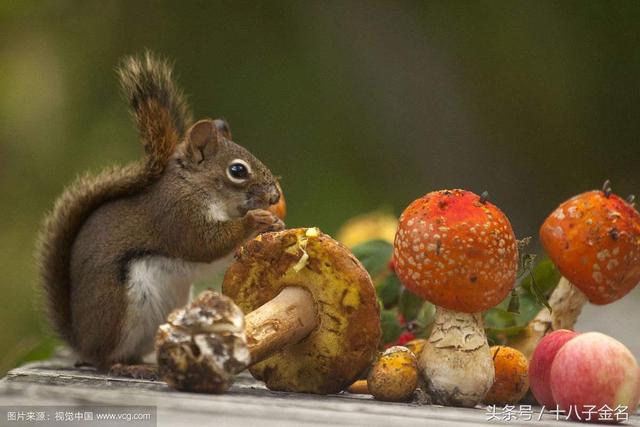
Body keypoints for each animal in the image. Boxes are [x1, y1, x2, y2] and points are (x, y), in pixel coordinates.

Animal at [37, 52, 282, 378]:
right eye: (238, 170)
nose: (274, 197)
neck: (196, 186)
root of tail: (81, 340)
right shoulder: (176, 214)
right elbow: (204, 244)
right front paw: (256, 220)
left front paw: (275, 223)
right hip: (118, 307)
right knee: (103, 358)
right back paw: (125, 366)